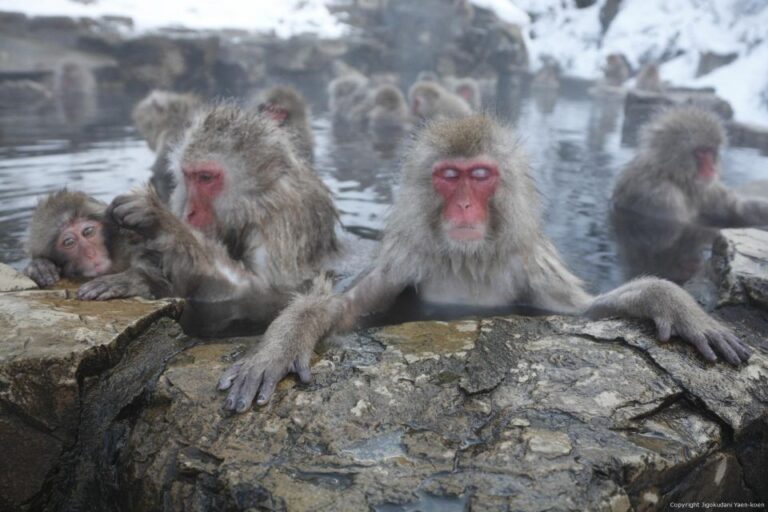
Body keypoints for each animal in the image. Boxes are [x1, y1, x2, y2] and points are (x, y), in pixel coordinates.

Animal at [109, 104, 339, 325]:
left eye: (205, 177)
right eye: (189, 176)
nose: (189, 212)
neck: (252, 203)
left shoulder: (282, 221)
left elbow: (262, 291)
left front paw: (162, 222)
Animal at [218, 115, 751, 413]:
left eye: (479, 175)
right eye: (449, 176)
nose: (464, 207)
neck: (468, 259)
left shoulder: (530, 264)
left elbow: (582, 311)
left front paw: (672, 303)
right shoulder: (405, 259)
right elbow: (342, 309)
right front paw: (280, 345)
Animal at [613, 106, 768, 226]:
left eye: (711, 151)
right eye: (701, 152)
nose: (712, 169)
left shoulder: (707, 189)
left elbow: (736, 209)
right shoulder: (662, 197)